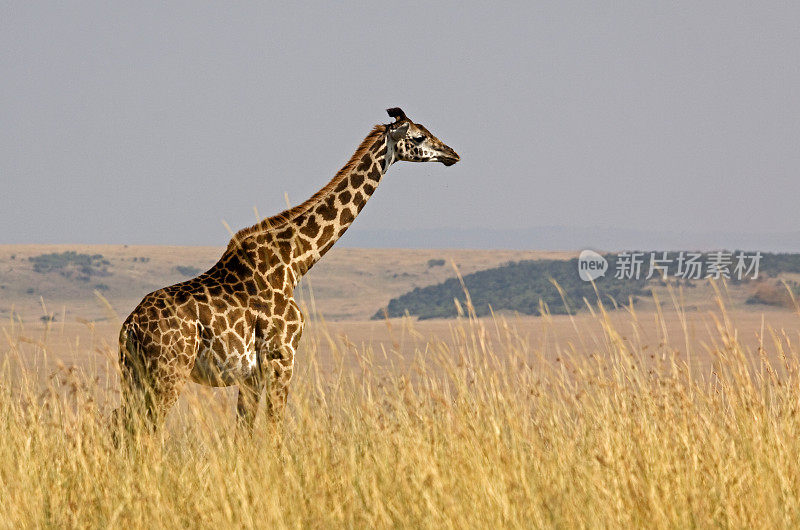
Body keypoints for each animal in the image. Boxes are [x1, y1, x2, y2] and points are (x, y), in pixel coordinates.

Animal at [115, 106, 460, 434]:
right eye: (418, 136)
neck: (295, 263)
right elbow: (275, 427)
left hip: (134, 375)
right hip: (168, 372)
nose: (452, 154)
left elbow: (245, 432)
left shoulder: (252, 374)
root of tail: (130, 327)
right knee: (146, 430)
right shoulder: (282, 357)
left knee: (124, 429)